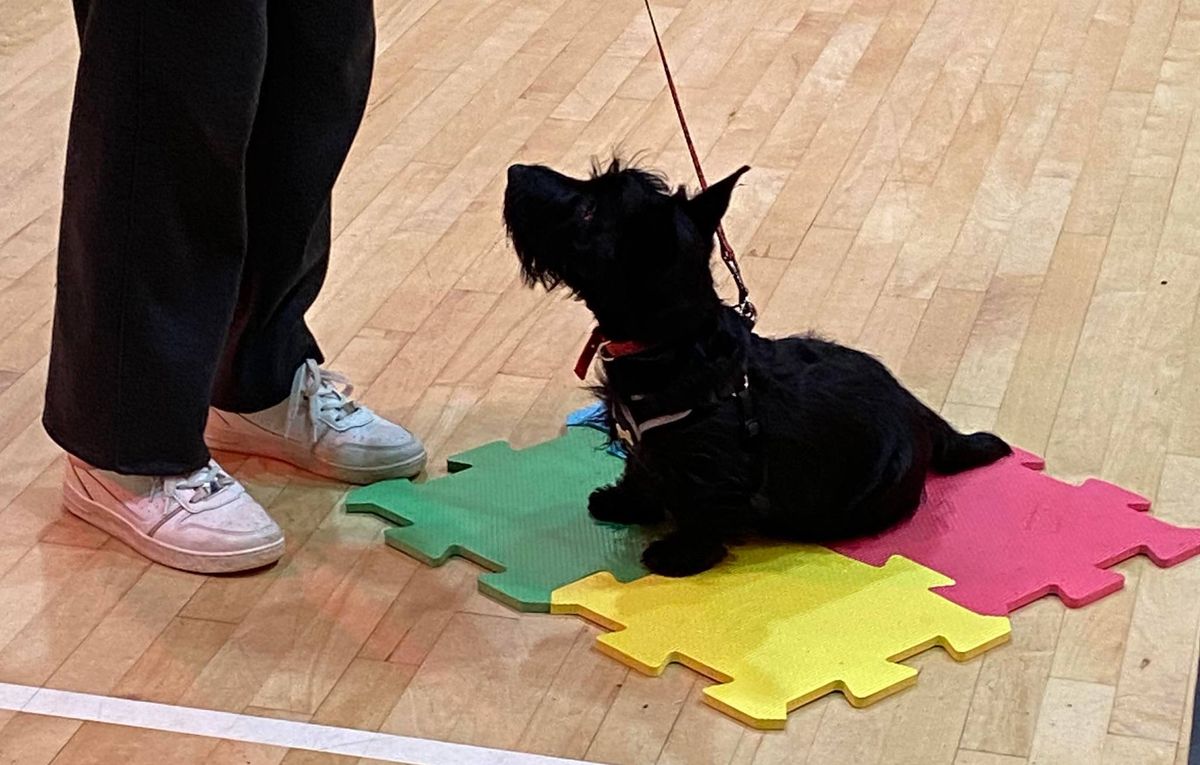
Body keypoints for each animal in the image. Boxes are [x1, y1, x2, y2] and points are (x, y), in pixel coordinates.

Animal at [501, 160, 1008, 575]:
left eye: (588, 210)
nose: (514, 171)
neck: (670, 340)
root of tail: (919, 410)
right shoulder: (645, 446)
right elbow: (640, 473)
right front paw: (623, 502)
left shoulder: (709, 470)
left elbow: (703, 512)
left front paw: (680, 555)